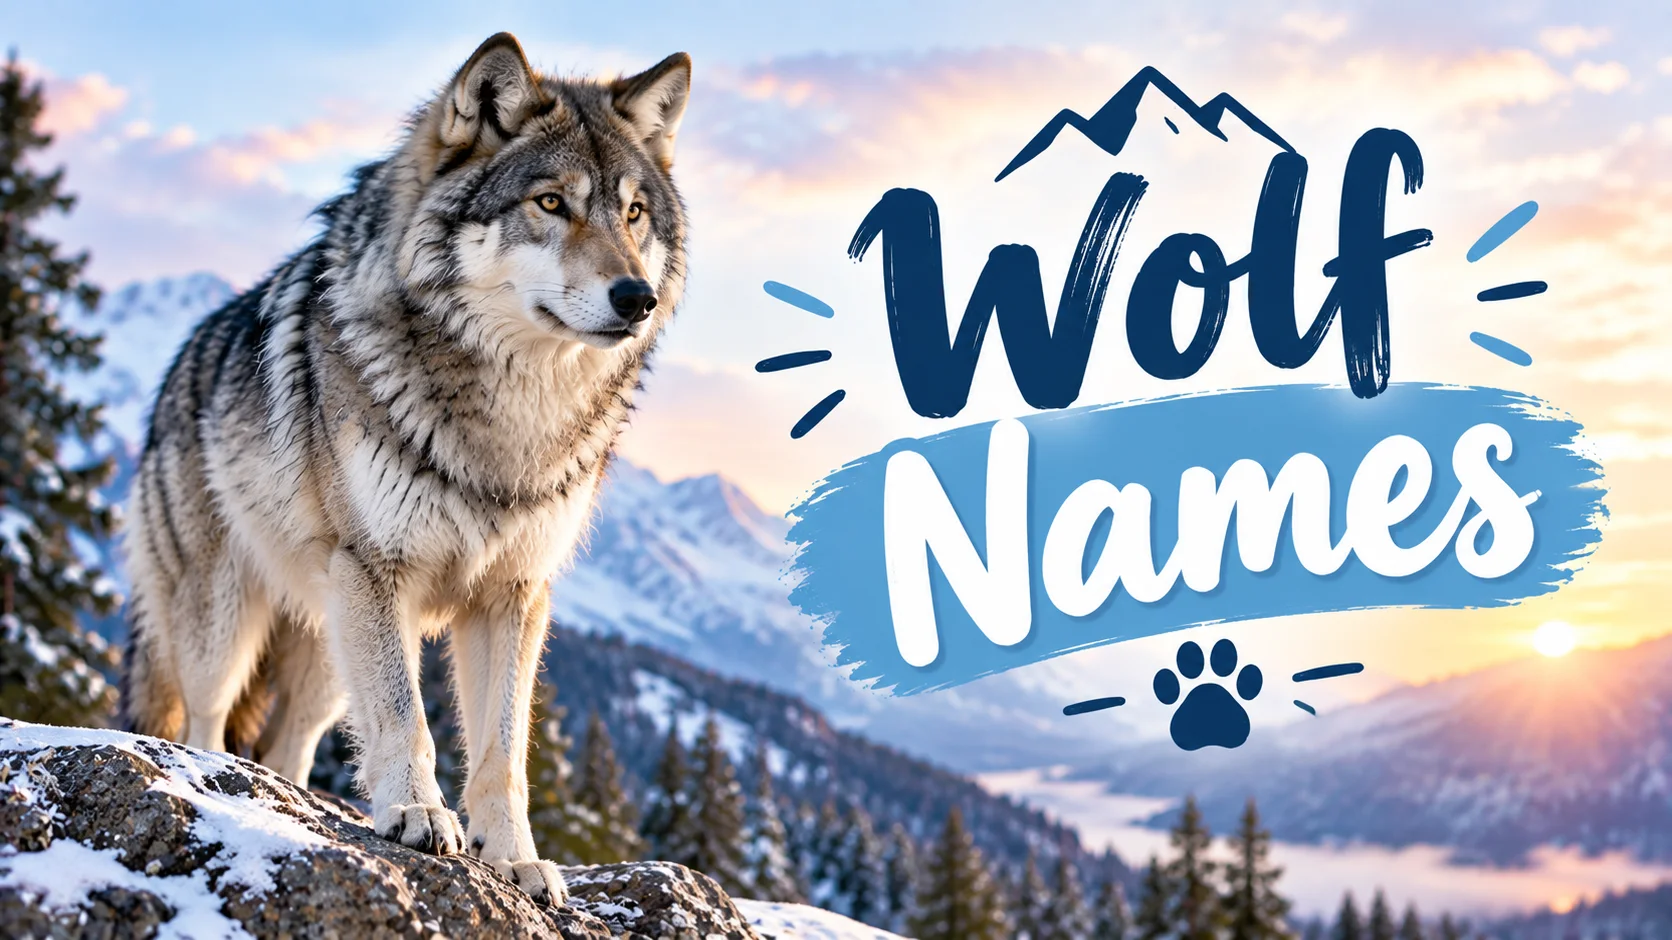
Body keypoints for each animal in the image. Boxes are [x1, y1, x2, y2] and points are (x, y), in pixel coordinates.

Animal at [120, 33, 690, 905]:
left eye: (632, 214)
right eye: (550, 204)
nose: (637, 298)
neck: (512, 415)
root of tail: (176, 373)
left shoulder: (512, 595)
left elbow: (503, 750)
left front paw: (514, 857)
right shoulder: (378, 571)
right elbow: (406, 716)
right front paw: (421, 817)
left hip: (327, 650)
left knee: (288, 745)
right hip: (229, 623)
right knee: (207, 720)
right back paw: (223, 783)